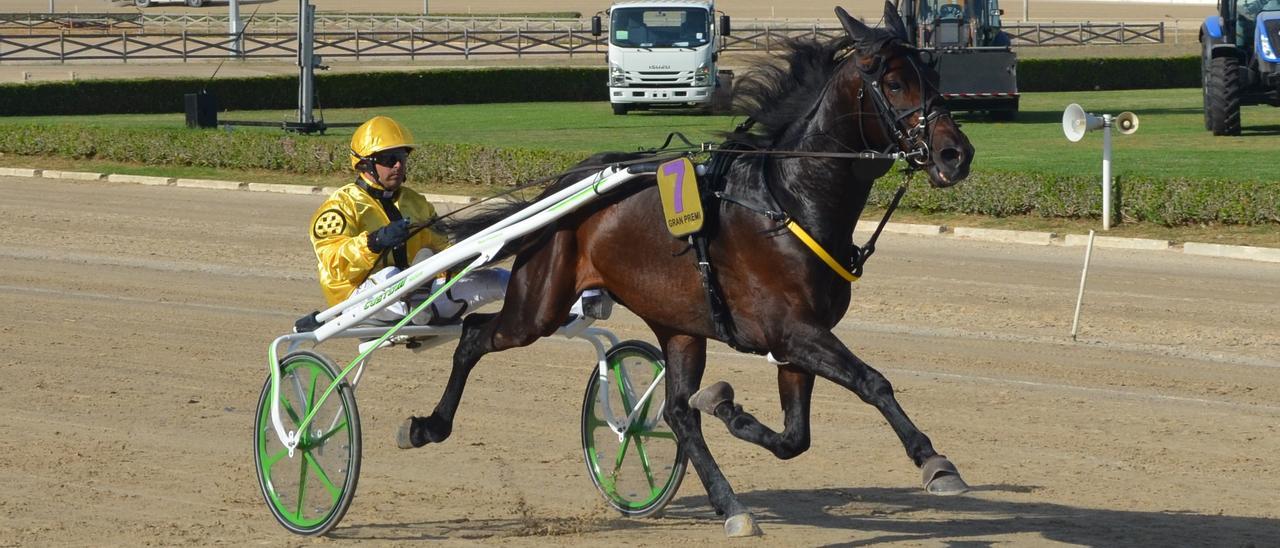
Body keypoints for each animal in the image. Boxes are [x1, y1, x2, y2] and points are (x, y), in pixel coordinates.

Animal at [396, 3, 967, 535]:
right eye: (893, 81)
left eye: (934, 74)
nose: (955, 153)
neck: (787, 201)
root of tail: (563, 184)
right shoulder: (791, 331)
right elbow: (873, 382)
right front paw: (935, 461)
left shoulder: (798, 341)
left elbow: (793, 438)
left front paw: (727, 407)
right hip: (538, 305)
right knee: (474, 334)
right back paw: (427, 426)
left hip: (678, 325)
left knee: (676, 412)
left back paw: (731, 505)